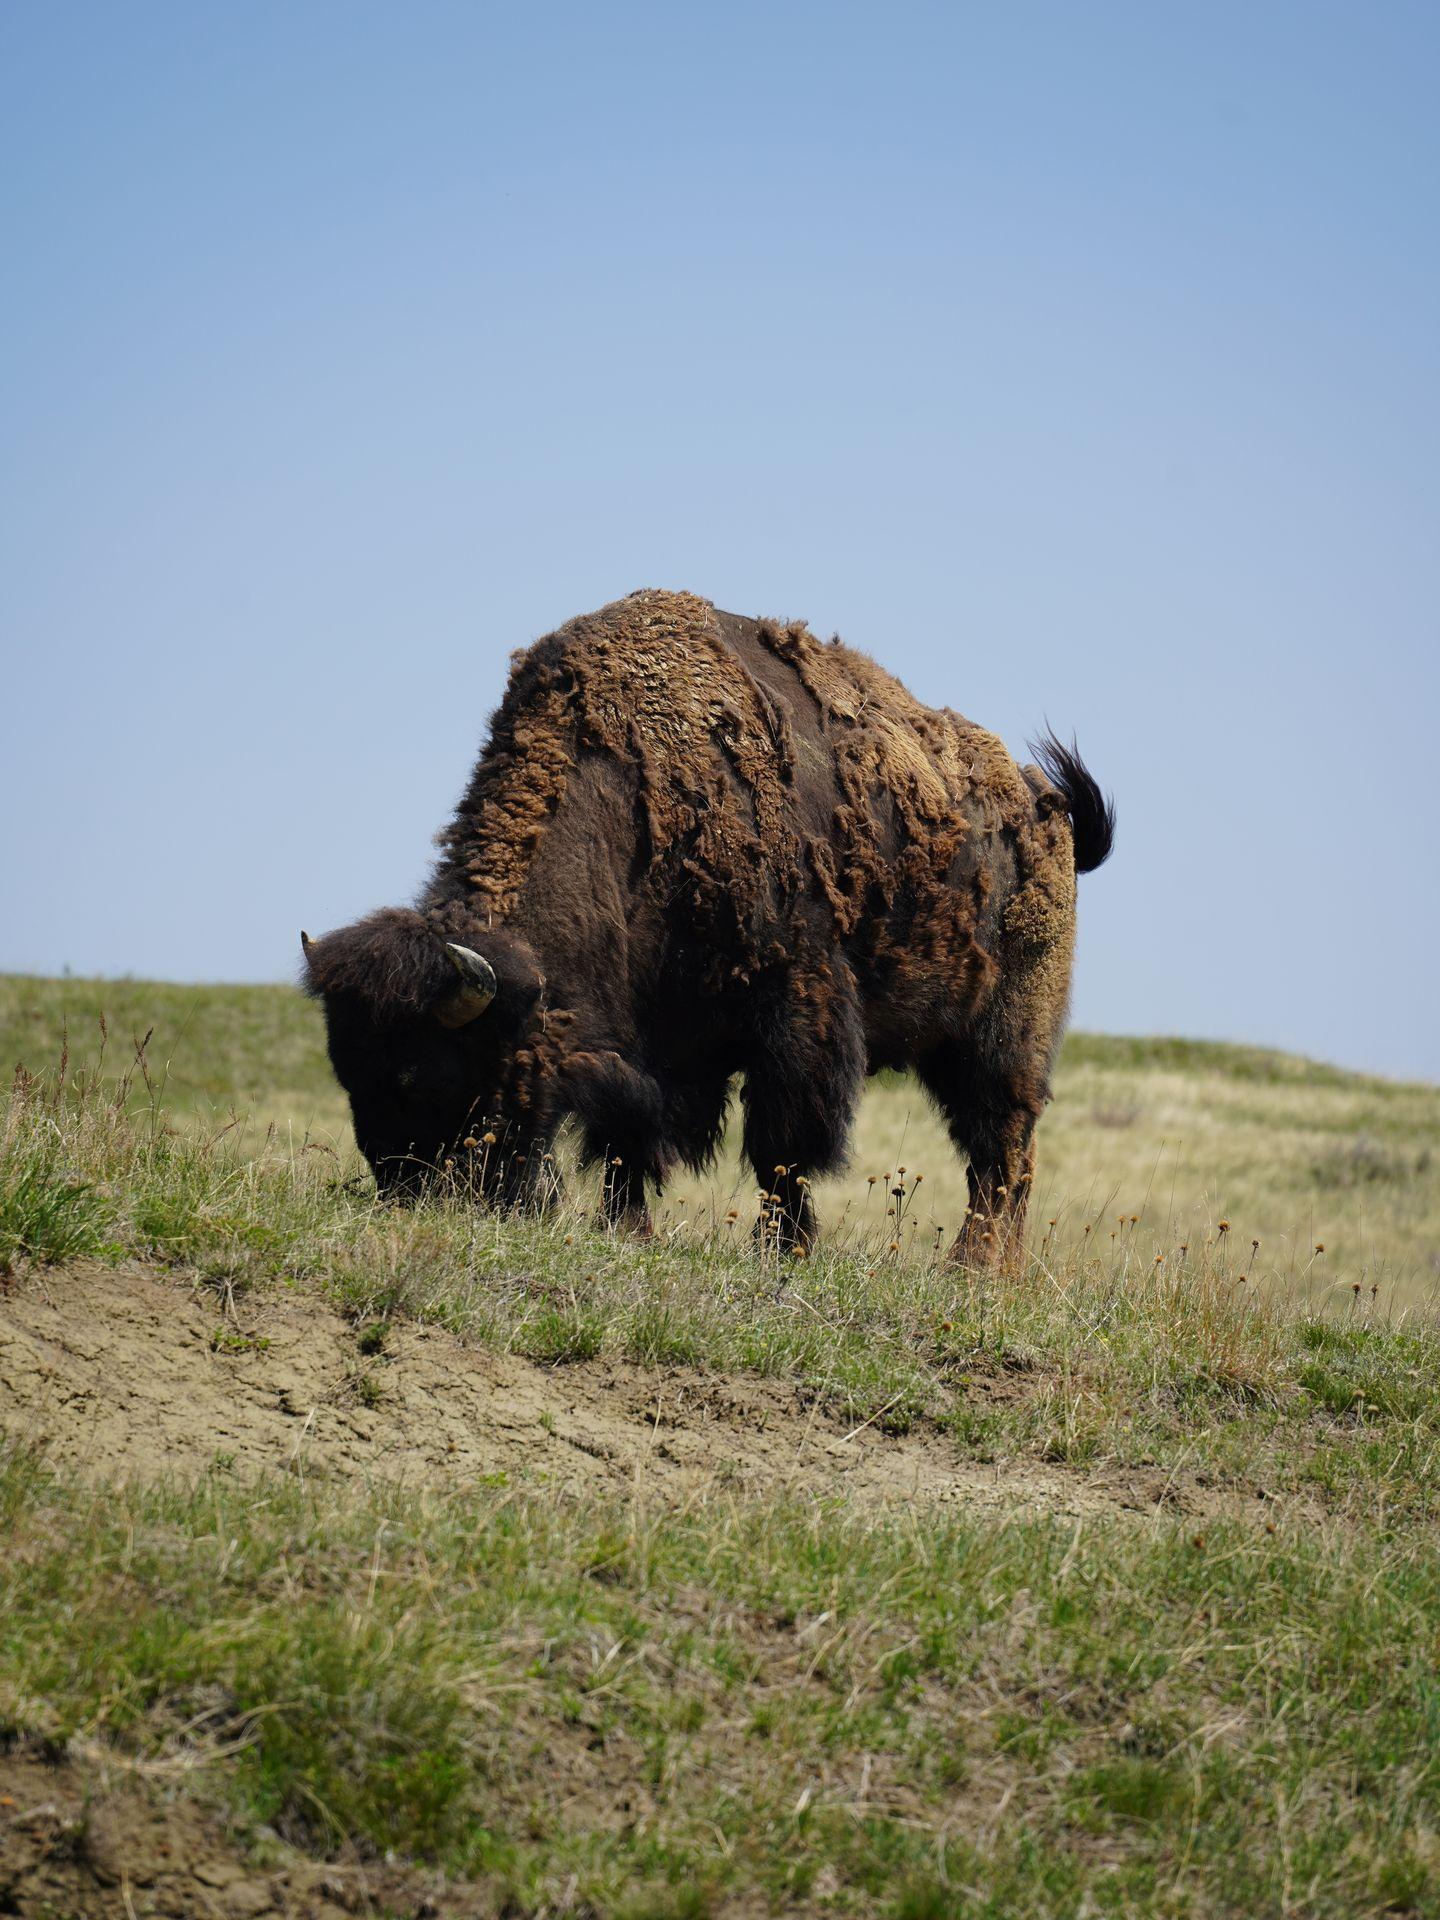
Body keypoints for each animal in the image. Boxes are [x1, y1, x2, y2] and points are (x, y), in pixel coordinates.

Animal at [301, 591, 1113, 1267]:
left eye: (423, 1074)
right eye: (347, 1071)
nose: (408, 1197)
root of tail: (1047, 804)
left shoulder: (793, 1007)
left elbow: (781, 1149)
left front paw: (784, 1255)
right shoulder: (648, 1047)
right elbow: (628, 1142)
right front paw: (631, 1234)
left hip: (1002, 1036)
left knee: (1000, 1148)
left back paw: (973, 1272)